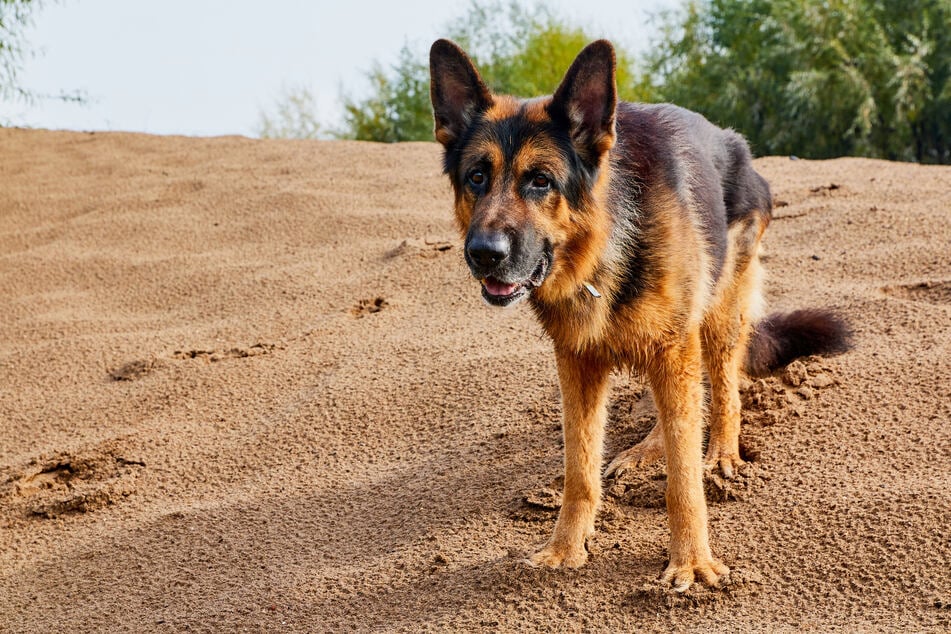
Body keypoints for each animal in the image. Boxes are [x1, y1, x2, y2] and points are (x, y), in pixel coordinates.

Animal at [428, 38, 852, 588]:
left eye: (540, 181)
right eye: (477, 177)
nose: (483, 254)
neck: (606, 243)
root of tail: (737, 143)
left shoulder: (673, 348)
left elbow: (684, 479)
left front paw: (692, 560)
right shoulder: (579, 364)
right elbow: (580, 469)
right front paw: (566, 547)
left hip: (717, 318)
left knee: (724, 391)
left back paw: (721, 452)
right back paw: (649, 449)